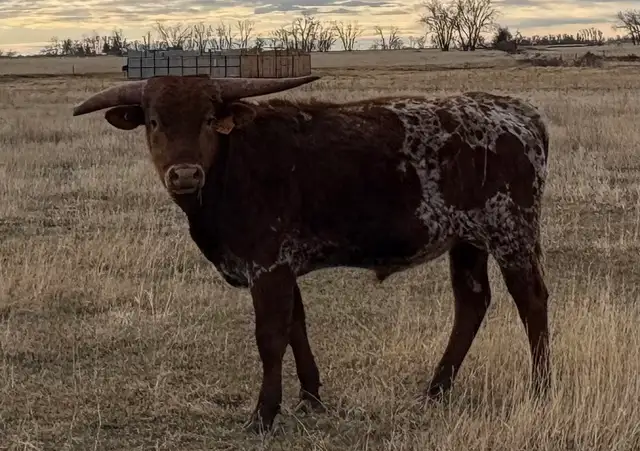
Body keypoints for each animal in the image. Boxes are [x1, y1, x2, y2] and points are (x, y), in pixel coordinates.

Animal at [71, 75, 551, 433]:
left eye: (208, 119)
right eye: (154, 121)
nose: (185, 174)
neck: (232, 165)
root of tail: (516, 110)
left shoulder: (267, 266)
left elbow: (270, 338)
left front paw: (263, 415)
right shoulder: (284, 266)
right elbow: (296, 327)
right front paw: (310, 397)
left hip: (511, 234)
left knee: (532, 303)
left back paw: (541, 389)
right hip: (467, 242)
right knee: (471, 302)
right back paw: (436, 389)